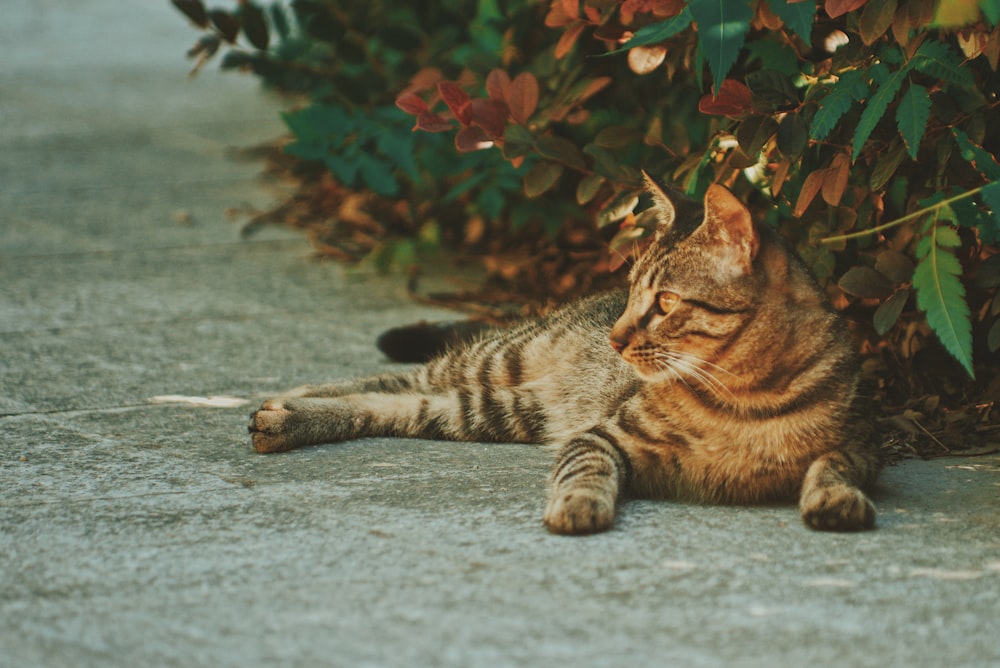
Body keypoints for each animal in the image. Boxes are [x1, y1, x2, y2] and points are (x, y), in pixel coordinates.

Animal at [250, 176, 884, 532]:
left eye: (666, 302)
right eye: (632, 293)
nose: (616, 338)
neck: (744, 398)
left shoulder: (862, 445)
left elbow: (834, 465)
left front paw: (837, 499)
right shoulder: (602, 436)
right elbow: (585, 468)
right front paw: (579, 505)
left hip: (493, 410)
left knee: (394, 404)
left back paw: (287, 416)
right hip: (499, 362)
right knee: (398, 380)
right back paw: (290, 401)